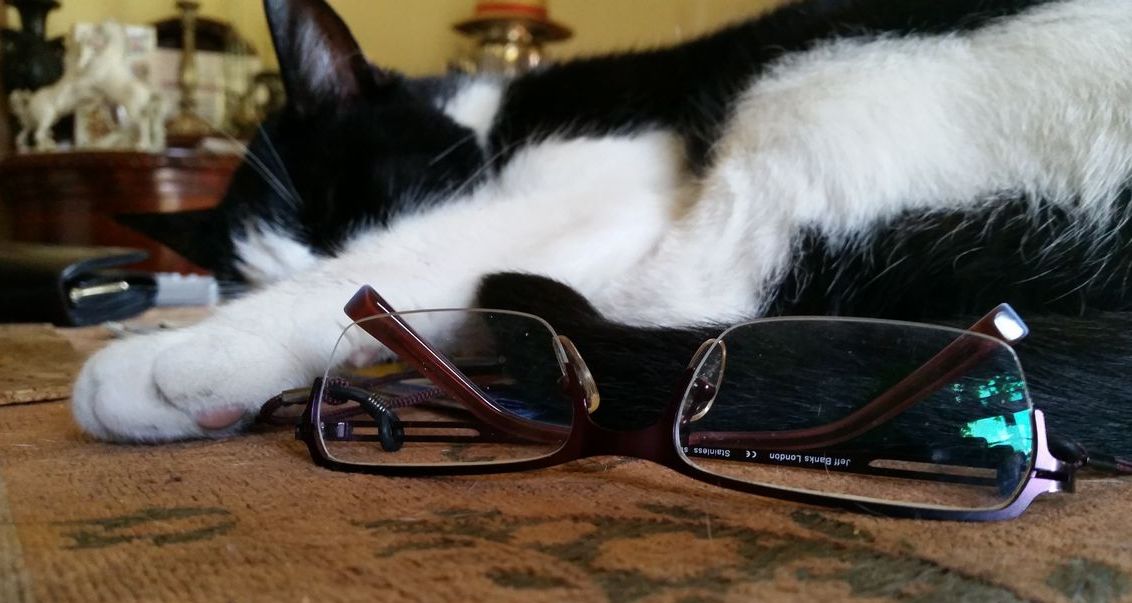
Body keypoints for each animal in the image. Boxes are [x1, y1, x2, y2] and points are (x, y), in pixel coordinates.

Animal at [74, 0, 1132, 458]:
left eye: (353, 212)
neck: (493, 116)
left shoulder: (611, 181)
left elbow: (410, 258)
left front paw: (169, 359)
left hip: (818, 84)